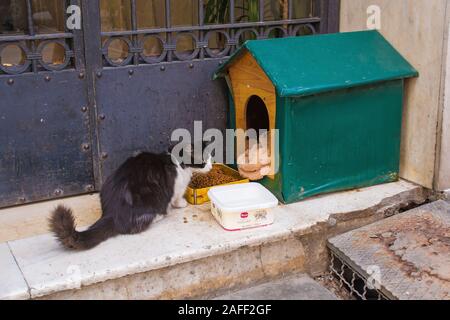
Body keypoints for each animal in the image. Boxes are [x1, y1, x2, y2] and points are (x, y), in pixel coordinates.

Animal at [50, 144, 212, 251]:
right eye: (205, 160)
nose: (211, 167)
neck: (178, 161)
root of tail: (111, 214)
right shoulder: (177, 188)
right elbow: (176, 197)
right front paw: (181, 204)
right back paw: (160, 215)